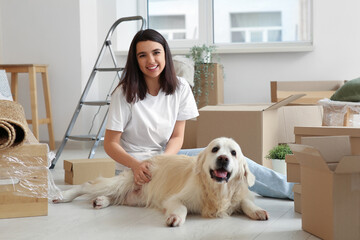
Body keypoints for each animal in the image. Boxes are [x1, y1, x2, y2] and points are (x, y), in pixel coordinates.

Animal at [52, 137, 268, 227]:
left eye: (233, 153)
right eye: (215, 149)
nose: (223, 159)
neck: (217, 191)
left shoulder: (239, 194)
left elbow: (245, 201)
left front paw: (258, 211)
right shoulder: (174, 199)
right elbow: (181, 208)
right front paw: (175, 218)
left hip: (136, 198)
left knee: (116, 197)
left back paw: (101, 201)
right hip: (123, 181)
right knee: (87, 185)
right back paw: (63, 196)